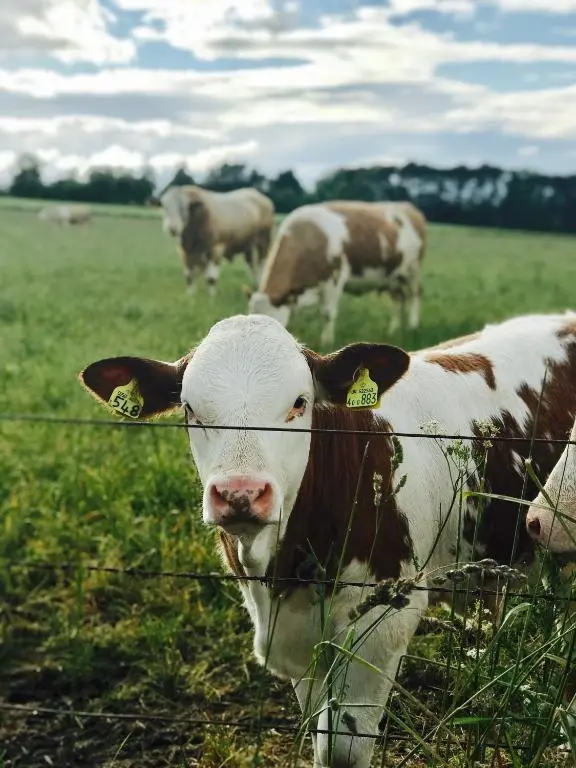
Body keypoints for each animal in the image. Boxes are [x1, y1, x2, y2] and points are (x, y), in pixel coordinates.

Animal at [79, 311, 576, 768]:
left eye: (299, 403)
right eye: (189, 410)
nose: (240, 493)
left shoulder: (383, 618)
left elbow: (342, 748)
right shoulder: (297, 640)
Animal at [247, 201, 426, 346]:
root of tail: (408, 207)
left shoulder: (335, 279)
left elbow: (327, 314)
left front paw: (326, 342)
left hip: (413, 269)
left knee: (416, 293)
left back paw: (413, 325)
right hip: (393, 277)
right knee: (398, 299)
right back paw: (393, 330)